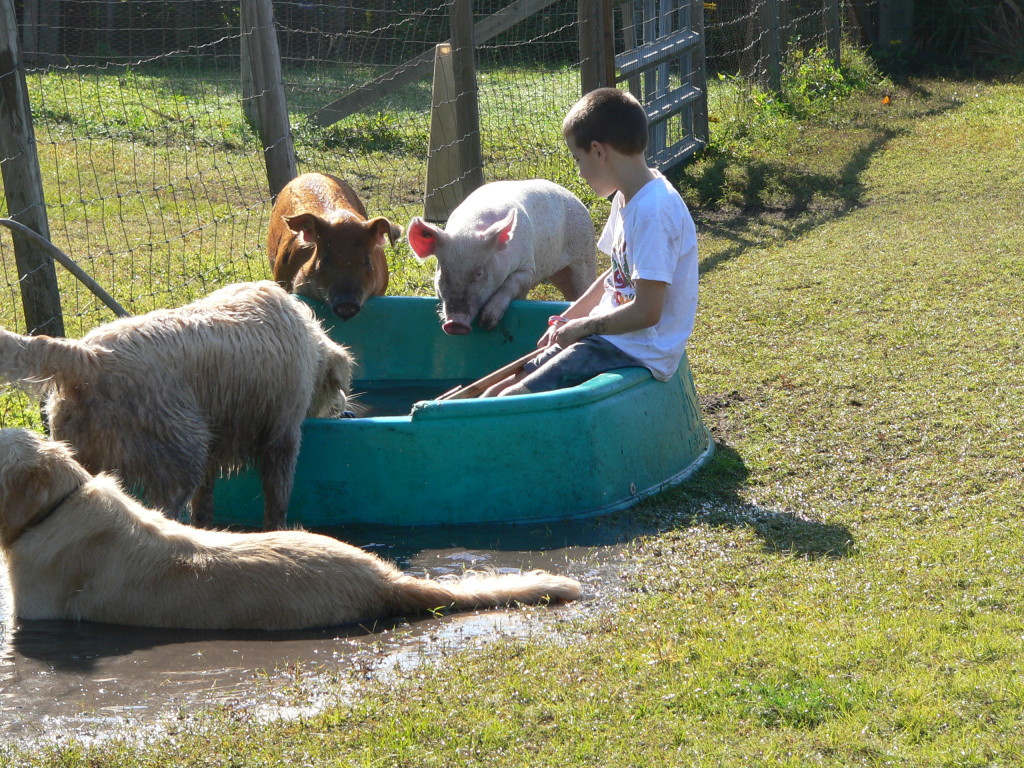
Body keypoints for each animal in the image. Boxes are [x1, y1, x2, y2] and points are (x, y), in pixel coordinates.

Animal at [407, 182, 598, 337]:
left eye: (479, 273)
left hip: (585, 254)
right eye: (443, 272)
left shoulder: (528, 268)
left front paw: (487, 323)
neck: (470, 228)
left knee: (583, 287)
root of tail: (574, 197)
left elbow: (512, 282)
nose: (455, 323)